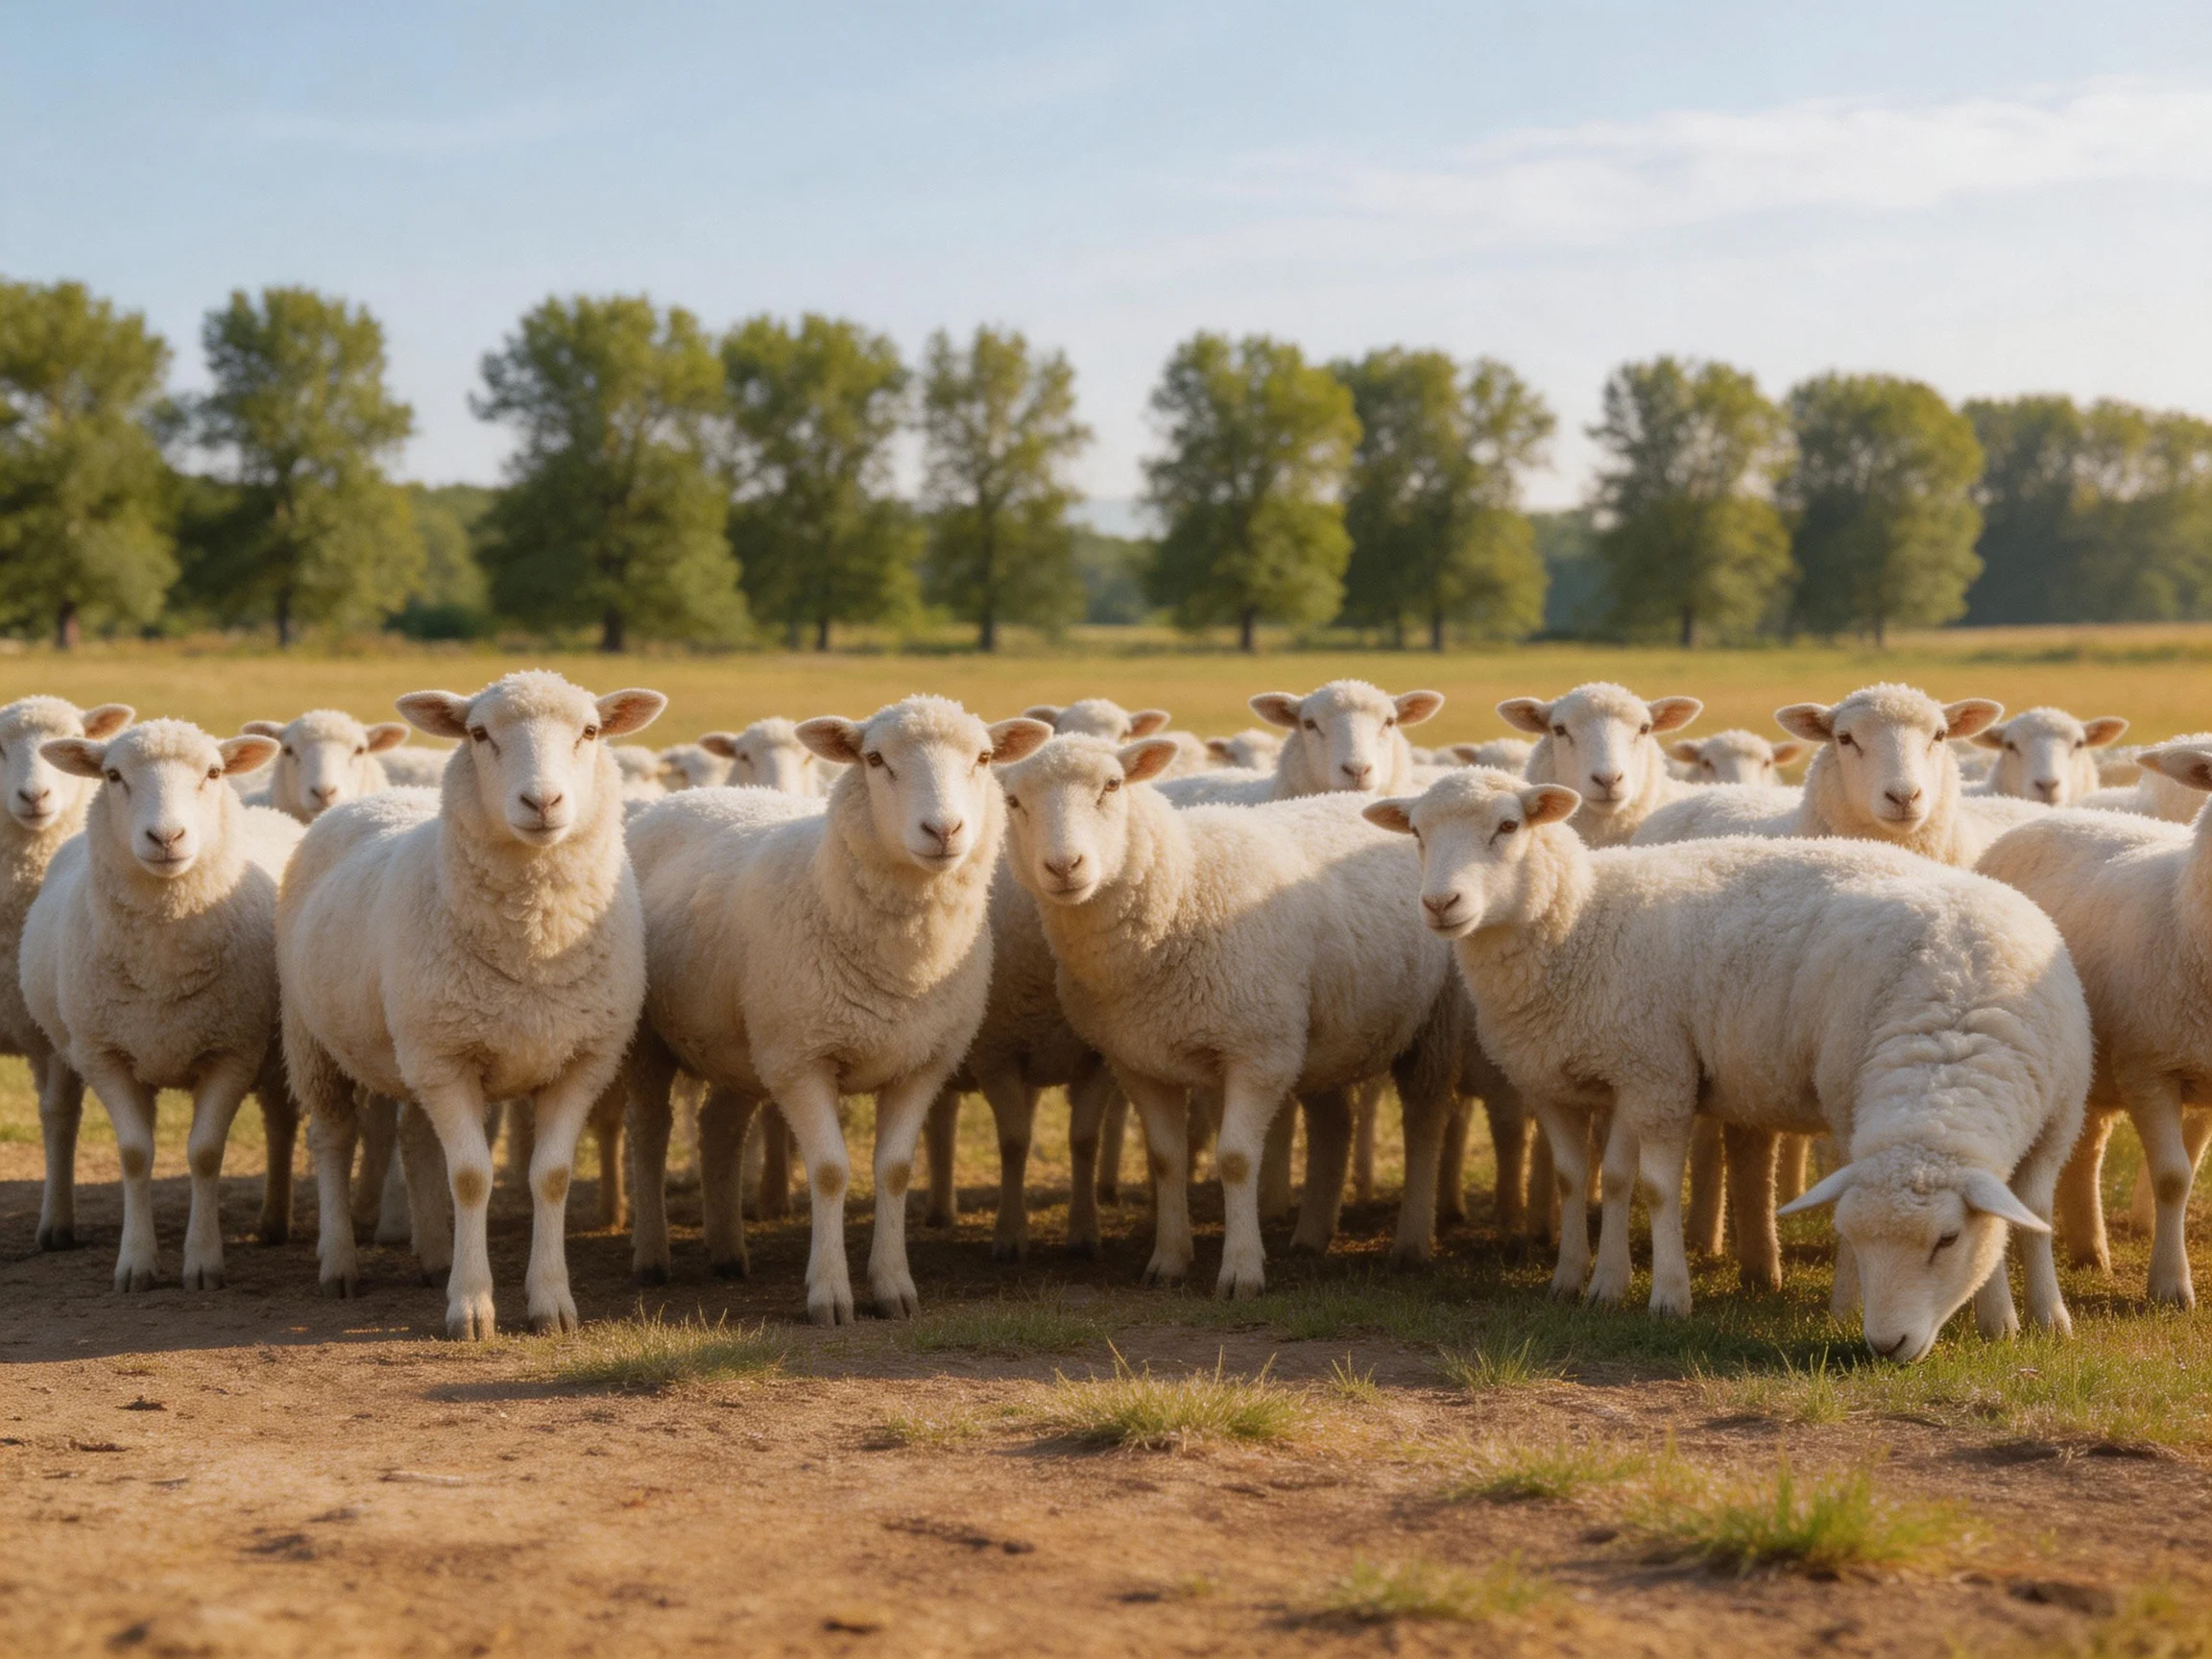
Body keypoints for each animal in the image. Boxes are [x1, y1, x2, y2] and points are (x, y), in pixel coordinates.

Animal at [21, 720, 301, 1291]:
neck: (161, 966)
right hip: (63, 1042)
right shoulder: (105, 1054)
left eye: (213, 773)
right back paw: (57, 1225)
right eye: (112, 775)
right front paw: (136, 1262)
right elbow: (134, 1155)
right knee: (59, 1117)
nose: (167, 838)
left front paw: (203, 1261)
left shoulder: (233, 1050)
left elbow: (205, 1153)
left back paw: (274, 1221)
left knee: (281, 1119)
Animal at [278, 670, 666, 1338]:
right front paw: (471, 1305)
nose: (543, 803)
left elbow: (551, 1177)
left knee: (413, 1140)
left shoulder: (580, 1061)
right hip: (313, 1041)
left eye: (590, 731)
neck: (535, 942)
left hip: (411, 1045)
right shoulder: (447, 1058)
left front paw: (551, 1302)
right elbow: (471, 1176)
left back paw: (434, 1256)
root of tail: (361, 802)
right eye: (480, 734)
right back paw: (340, 1262)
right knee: (332, 1140)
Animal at [622, 697, 1049, 1320]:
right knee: (651, 1132)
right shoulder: (803, 1060)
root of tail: (681, 799)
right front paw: (828, 1293)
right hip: (653, 1039)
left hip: (744, 1043)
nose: (944, 830)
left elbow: (894, 1172)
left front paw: (894, 1287)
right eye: (874, 759)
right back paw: (652, 1257)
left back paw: (727, 1251)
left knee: (720, 1128)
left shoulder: (920, 1063)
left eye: (985, 758)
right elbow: (828, 1172)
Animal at [997, 734, 1463, 1297]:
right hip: (1321, 1031)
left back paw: (1412, 1242)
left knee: (1424, 1123)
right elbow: (1166, 1159)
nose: (1065, 867)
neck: (1182, 891)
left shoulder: (1256, 1052)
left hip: (1433, 1025)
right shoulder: (1138, 1061)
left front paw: (1241, 1270)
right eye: (1014, 802)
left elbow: (1236, 1160)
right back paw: (1312, 1235)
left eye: (1112, 785)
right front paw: (1168, 1260)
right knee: (1334, 1124)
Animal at [1367, 766, 2089, 1358]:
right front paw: (1582, 1280)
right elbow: (1589, 1180)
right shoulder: (1570, 1077)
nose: (1440, 905)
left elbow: (1655, 1187)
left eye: (1508, 827)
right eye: (1417, 833)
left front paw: (1667, 1296)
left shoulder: (1655, 1074)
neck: (1580, 924)